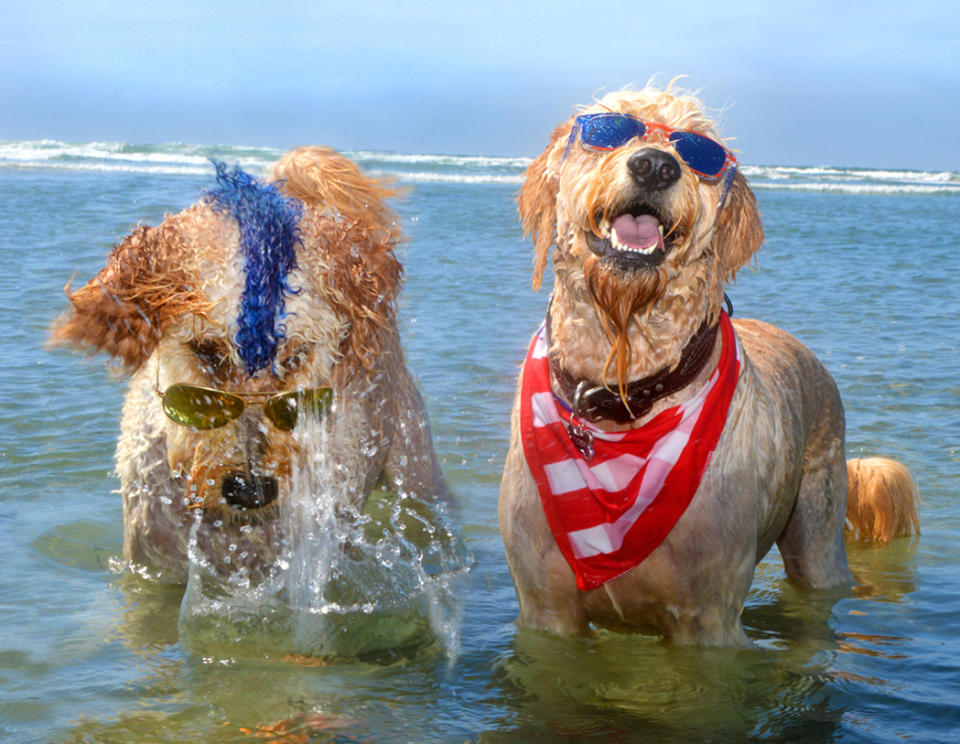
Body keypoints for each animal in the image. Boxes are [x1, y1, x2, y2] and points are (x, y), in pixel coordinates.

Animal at [498, 85, 920, 644]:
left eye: (699, 150)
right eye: (608, 127)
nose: (655, 166)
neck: (628, 395)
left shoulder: (709, 618)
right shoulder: (546, 611)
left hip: (817, 533)